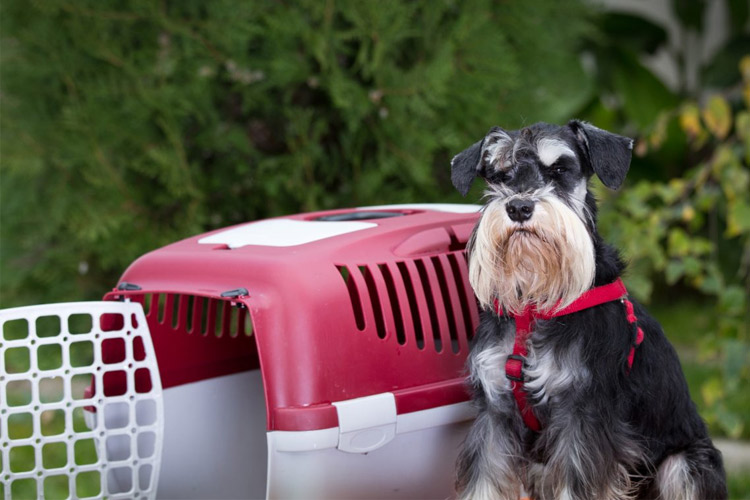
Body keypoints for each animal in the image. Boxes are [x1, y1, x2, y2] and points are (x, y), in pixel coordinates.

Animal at [452, 122, 728, 500]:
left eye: (559, 170)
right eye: (499, 175)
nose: (520, 207)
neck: (535, 307)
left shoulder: (582, 415)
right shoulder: (494, 411)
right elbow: (485, 480)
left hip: (683, 464)